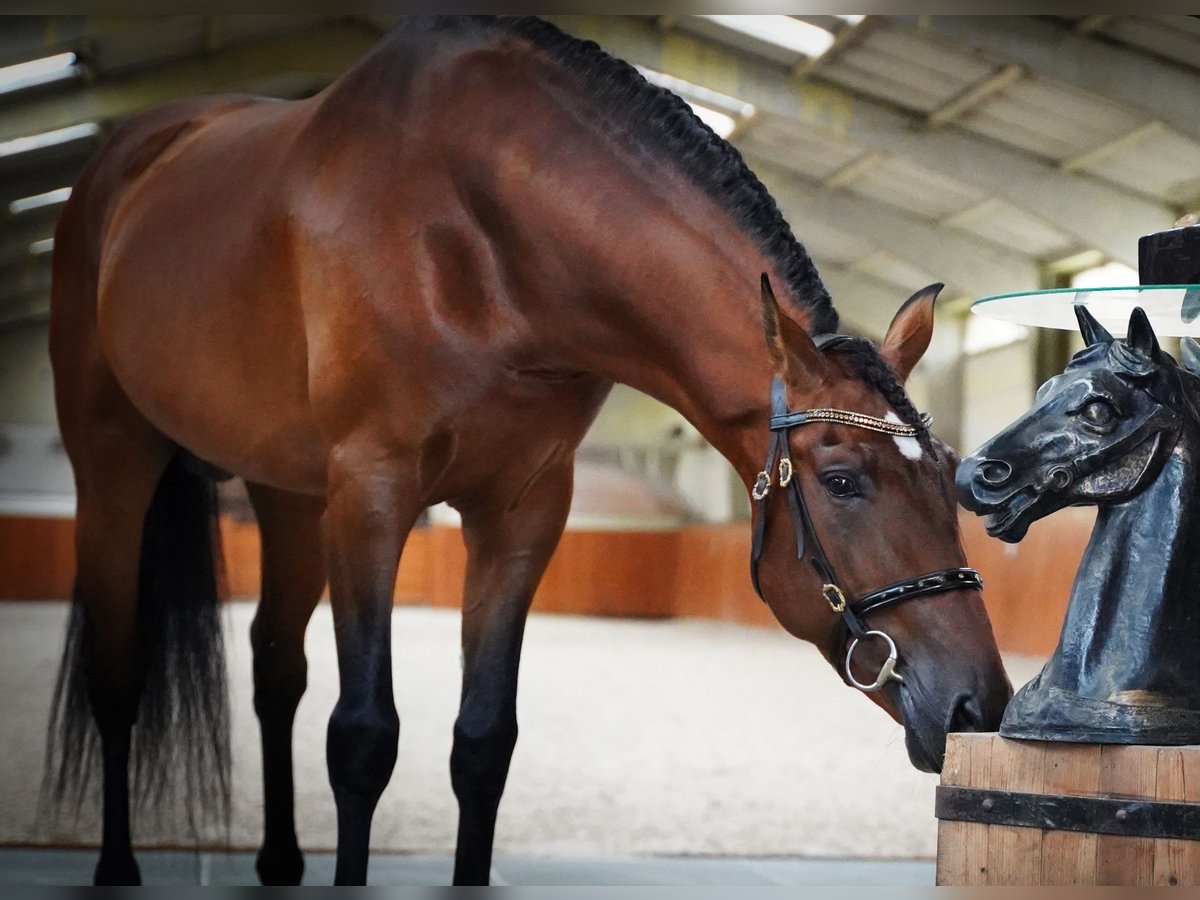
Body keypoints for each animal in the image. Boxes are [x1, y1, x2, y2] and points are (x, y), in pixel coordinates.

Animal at [42, 14, 1008, 888]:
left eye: (949, 480)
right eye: (843, 481)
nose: (979, 705)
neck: (479, 238)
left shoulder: (522, 511)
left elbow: (482, 744)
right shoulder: (372, 494)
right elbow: (362, 738)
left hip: (287, 495)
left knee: (276, 667)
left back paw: (279, 862)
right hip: (115, 462)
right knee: (117, 670)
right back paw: (117, 865)